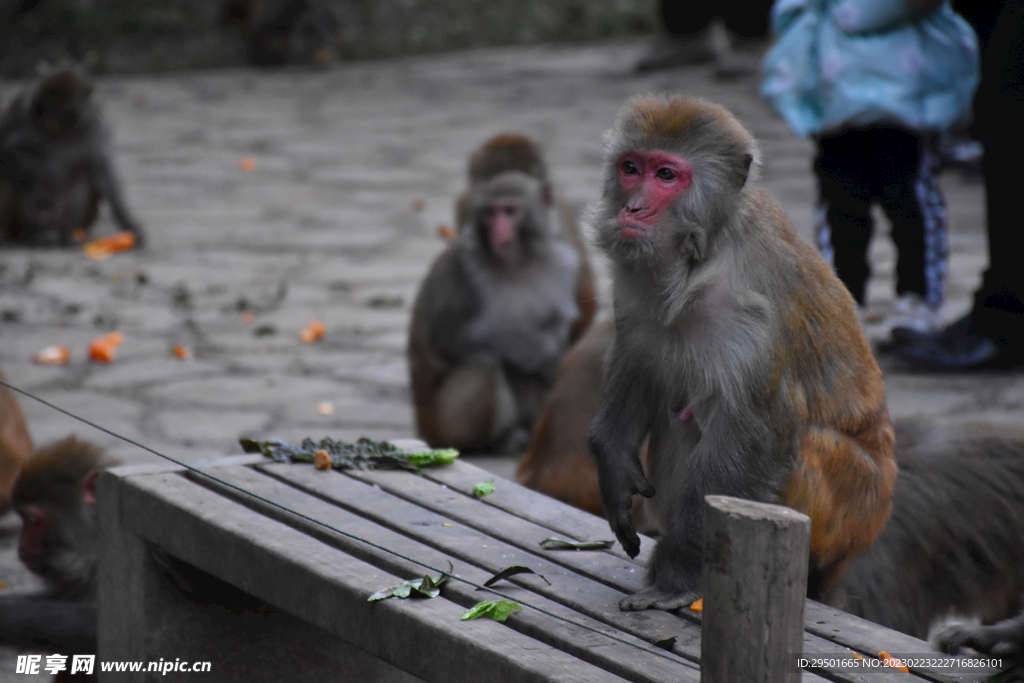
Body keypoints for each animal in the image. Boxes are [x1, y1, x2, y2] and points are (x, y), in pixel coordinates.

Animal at [0, 66, 146, 246]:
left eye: (61, 108)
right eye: (45, 105)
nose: (50, 120)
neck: (63, 131)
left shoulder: (96, 127)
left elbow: (104, 175)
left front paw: (131, 225)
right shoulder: (20, 107)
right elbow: (7, 148)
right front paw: (47, 171)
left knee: (82, 175)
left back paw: (64, 235)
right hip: (20, 223)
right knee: (7, 175)